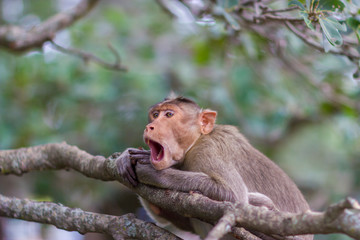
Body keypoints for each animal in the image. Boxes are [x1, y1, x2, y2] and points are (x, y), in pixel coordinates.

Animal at [116, 96, 312, 240]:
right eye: (155, 115)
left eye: (169, 115)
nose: (150, 126)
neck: (195, 142)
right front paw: (125, 156)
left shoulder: (208, 150)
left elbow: (235, 197)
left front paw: (151, 172)